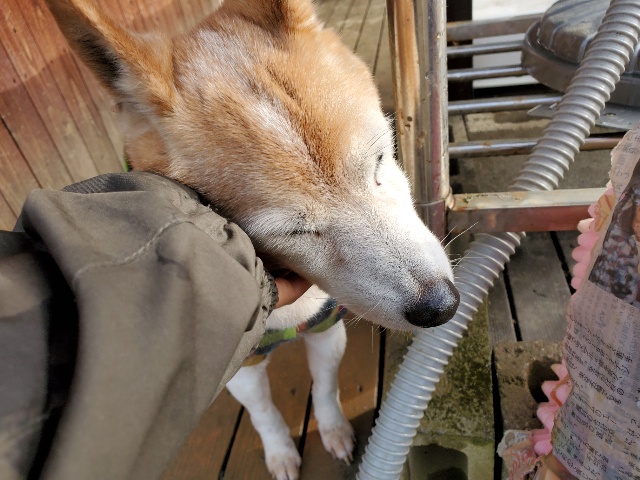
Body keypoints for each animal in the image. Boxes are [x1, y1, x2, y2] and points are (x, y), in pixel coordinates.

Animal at [45, 0, 460, 478]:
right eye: (293, 231)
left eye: (379, 159)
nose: (441, 306)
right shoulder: (240, 367)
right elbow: (264, 413)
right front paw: (280, 453)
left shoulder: (326, 331)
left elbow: (325, 388)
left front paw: (334, 430)